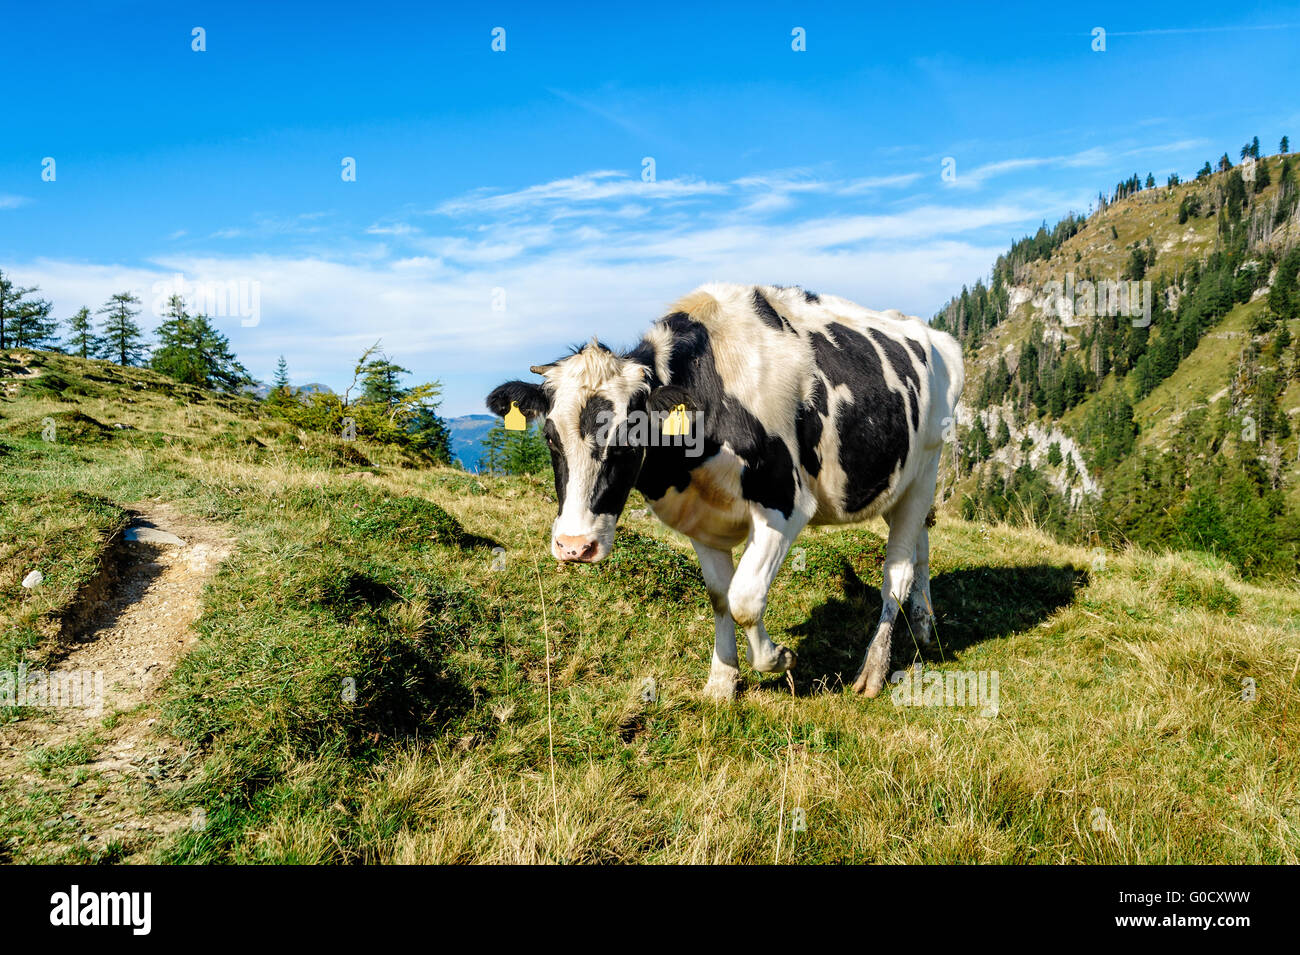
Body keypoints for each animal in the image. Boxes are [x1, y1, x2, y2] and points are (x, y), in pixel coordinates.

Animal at [488, 283, 967, 701]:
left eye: (629, 438)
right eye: (550, 437)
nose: (574, 546)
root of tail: (931, 334)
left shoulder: (785, 505)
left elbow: (745, 599)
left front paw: (779, 658)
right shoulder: (700, 518)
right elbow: (720, 598)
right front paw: (722, 681)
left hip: (927, 467)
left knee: (897, 574)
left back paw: (874, 670)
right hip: (899, 483)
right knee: (921, 546)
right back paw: (924, 627)